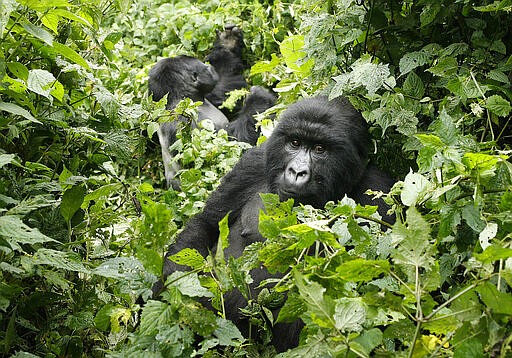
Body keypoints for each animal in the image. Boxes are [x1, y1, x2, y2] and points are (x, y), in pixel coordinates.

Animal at [158, 95, 394, 352]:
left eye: (320, 149)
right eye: (294, 142)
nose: (297, 171)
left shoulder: (378, 192)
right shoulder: (252, 164)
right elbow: (205, 227)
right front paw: (178, 300)